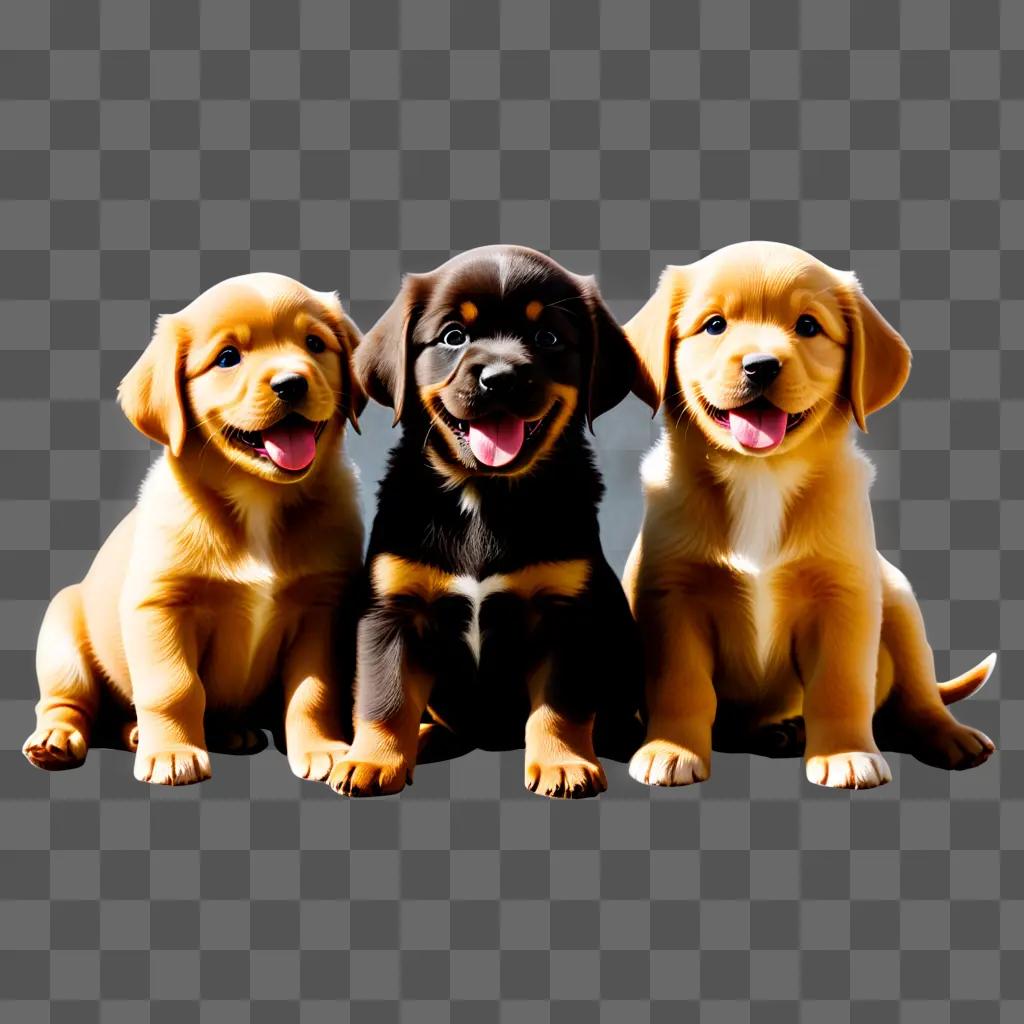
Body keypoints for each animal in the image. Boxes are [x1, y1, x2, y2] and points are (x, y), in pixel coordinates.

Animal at [20, 270, 368, 782]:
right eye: (227, 358)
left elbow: (314, 690)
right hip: (62, 638)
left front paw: (322, 749)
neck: (259, 501)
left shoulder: (322, 608)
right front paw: (173, 753)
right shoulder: (160, 606)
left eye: (314, 343)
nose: (291, 383)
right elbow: (174, 687)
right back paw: (60, 740)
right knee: (66, 704)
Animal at [329, 245, 638, 798]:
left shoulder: (567, 613)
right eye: (454, 336)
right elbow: (385, 696)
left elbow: (559, 705)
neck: (484, 496)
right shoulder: (391, 611)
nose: (500, 378)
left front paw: (562, 763)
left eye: (547, 337)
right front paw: (370, 760)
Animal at [618, 241, 995, 790]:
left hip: (899, 597)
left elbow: (840, 684)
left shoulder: (844, 597)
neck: (761, 475)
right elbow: (681, 684)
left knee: (920, 690)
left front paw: (845, 754)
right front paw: (672, 749)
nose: (761, 366)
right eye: (715, 325)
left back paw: (946, 735)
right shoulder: (672, 597)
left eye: (808, 325)